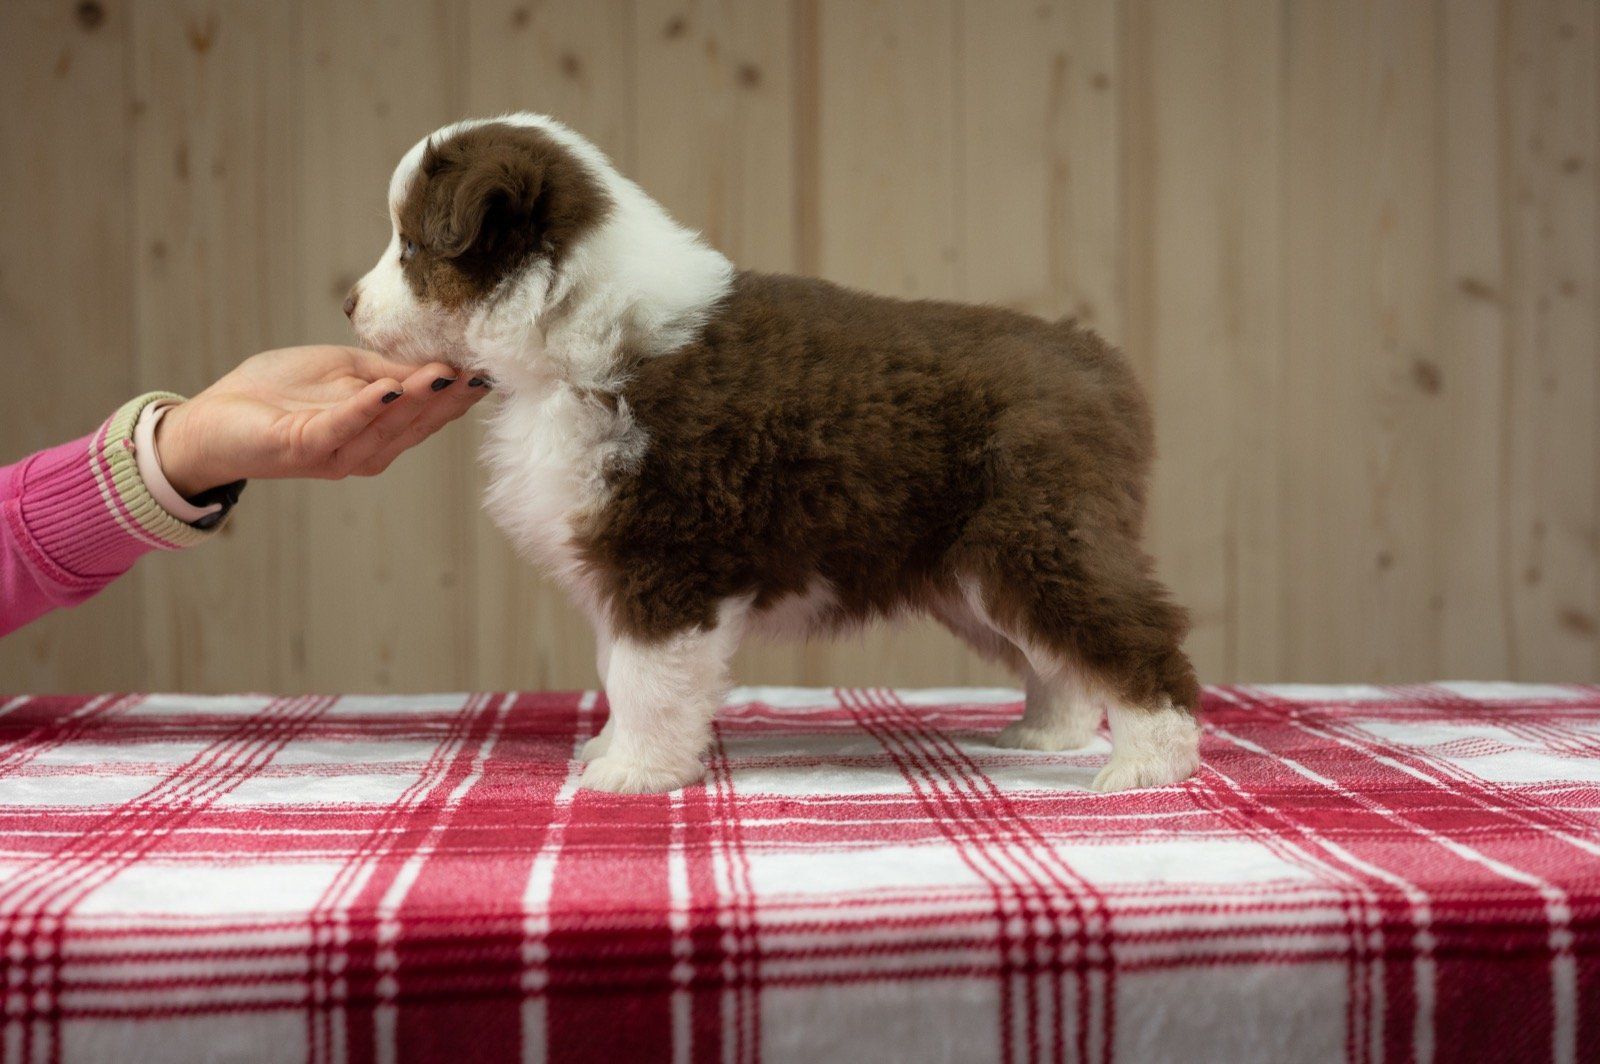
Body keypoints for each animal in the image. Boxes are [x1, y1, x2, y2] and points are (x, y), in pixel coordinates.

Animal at [347, 113, 1201, 794]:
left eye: (412, 245)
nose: (349, 304)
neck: (573, 325)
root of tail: (1095, 361)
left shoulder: (665, 555)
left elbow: (645, 677)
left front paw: (633, 774)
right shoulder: (623, 566)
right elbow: (618, 673)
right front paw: (611, 751)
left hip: (1037, 534)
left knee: (1136, 636)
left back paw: (1149, 766)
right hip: (975, 569)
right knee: (1056, 656)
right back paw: (1050, 733)